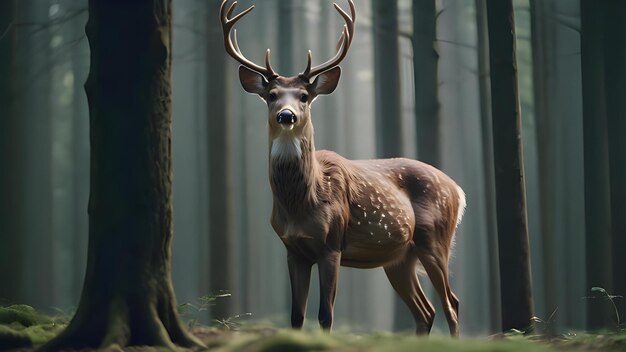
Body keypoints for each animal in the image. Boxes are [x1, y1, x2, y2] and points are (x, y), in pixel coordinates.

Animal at [218, 0, 464, 336]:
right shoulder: (293, 249)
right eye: (271, 96)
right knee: (425, 311)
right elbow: (296, 316)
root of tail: (457, 190)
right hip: (399, 257)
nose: (286, 115)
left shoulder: (331, 244)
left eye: (304, 96)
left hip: (435, 239)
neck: (301, 202)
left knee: (451, 304)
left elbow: (325, 315)